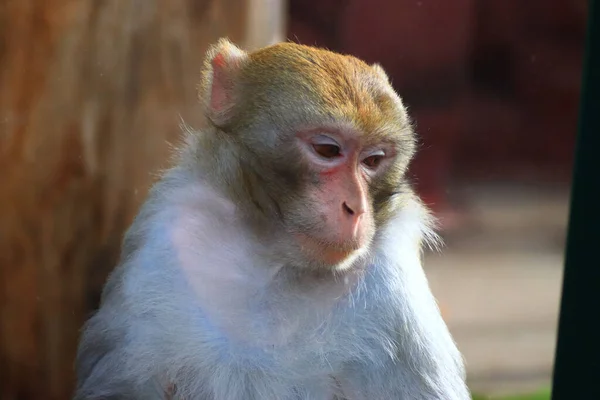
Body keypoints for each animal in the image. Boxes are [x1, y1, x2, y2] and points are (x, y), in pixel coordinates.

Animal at [74, 38, 468, 400]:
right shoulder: (166, 232)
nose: (355, 208)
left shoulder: (393, 279)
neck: (273, 258)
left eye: (373, 160)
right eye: (327, 150)